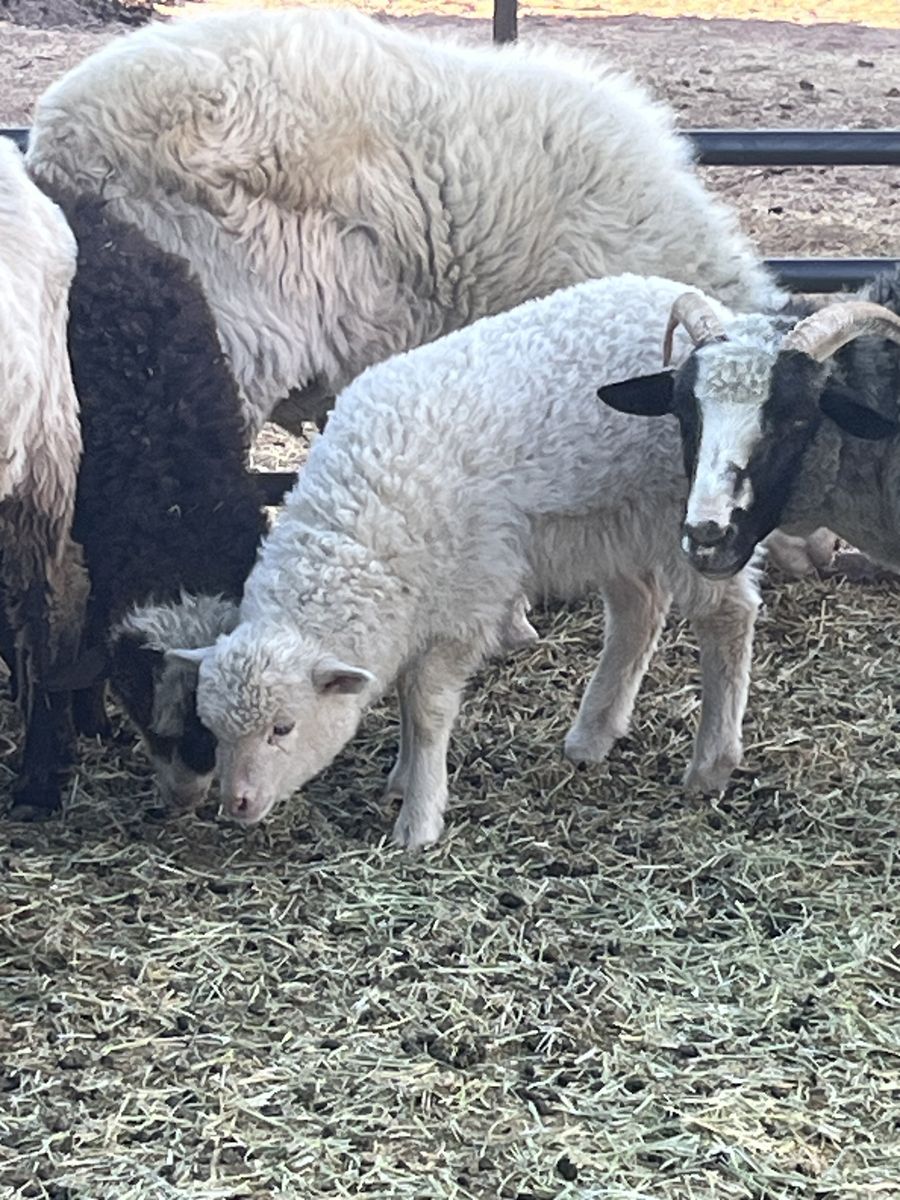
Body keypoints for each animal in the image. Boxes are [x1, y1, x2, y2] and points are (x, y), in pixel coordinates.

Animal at [170, 273, 763, 849]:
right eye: (214, 730)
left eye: (283, 728)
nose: (236, 804)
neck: (355, 523)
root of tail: (713, 314)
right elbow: (406, 702)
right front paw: (402, 777)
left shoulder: (464, 601)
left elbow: (426, 708)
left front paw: (419, 818)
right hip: (609, 522)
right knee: (639, 610)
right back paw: (592, 734)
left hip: (682, 513)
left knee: (728, 616)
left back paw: (712, 762)